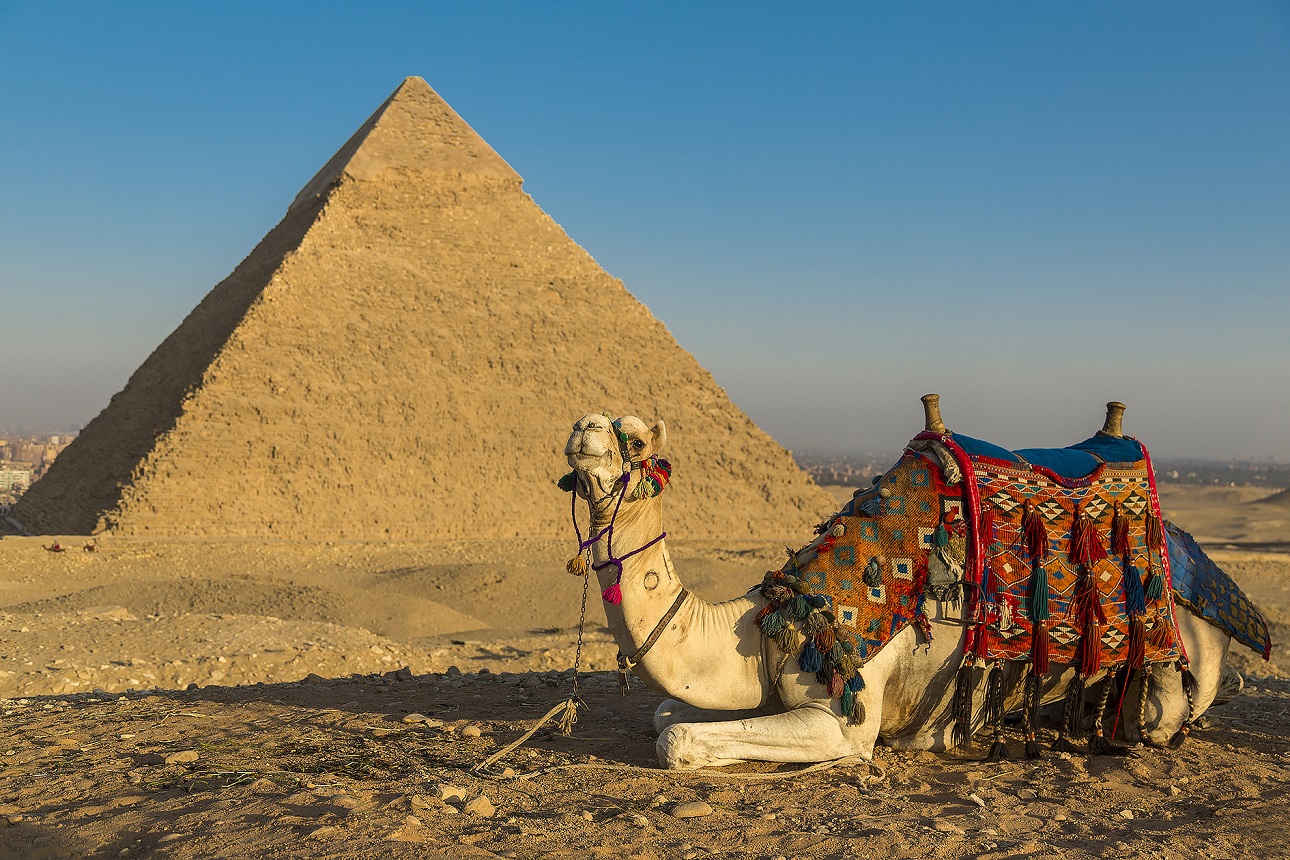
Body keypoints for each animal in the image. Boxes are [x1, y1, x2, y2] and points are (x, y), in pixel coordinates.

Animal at [561, 399, 1264, 769]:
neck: (773, 619)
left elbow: (676, 739)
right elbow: (664, 716)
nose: (583, 428)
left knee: (1163, 714)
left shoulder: (846, 713)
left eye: (636, 438)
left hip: (1178, 657)